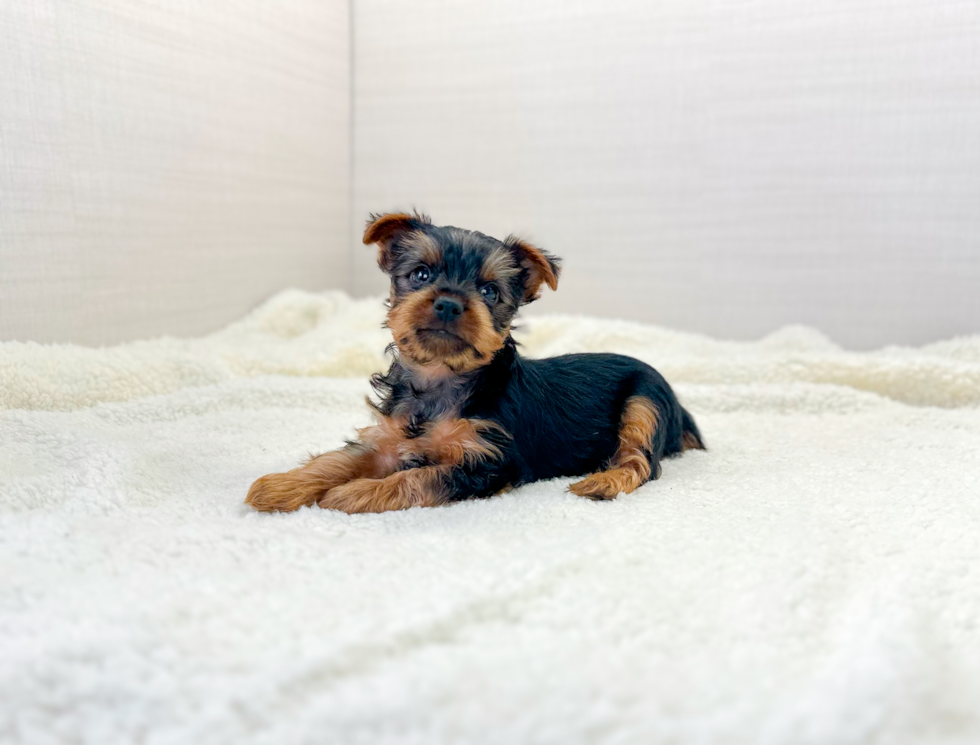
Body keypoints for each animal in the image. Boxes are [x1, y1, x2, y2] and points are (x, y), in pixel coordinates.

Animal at [245, 209, 704, 512]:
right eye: (421, 275)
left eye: (489, 292)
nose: (448, 303)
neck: (441, 378)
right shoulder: (389, 439)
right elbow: (341, 459)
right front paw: (282, 486)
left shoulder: (491, 461)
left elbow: (422, 476)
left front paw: (355, 493)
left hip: (645, 401)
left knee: (642, 462)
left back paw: (603, 481)